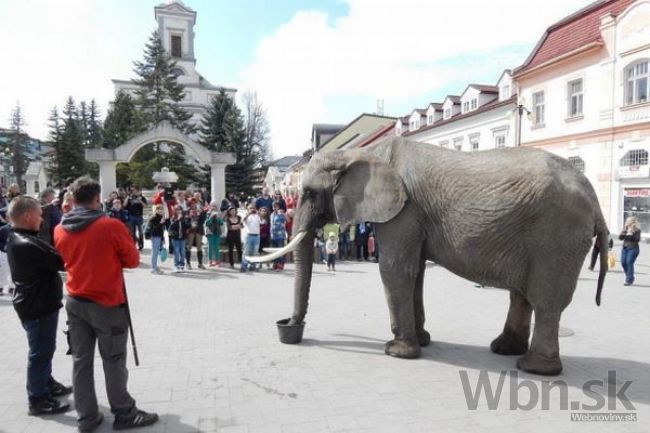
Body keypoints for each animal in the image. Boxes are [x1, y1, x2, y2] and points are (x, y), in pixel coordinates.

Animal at [249, 136, 608, 374]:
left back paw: (535, 369)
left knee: (546, 300)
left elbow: (395, 270)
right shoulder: (411, 215)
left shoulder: (403, 211)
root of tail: (594, 197)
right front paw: (422, 342)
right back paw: (504, 350)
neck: (361, 153)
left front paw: (396, 352)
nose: (290, 329)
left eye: (310, 193)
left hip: (557, 236)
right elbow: (416, 272)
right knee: (522, 295)